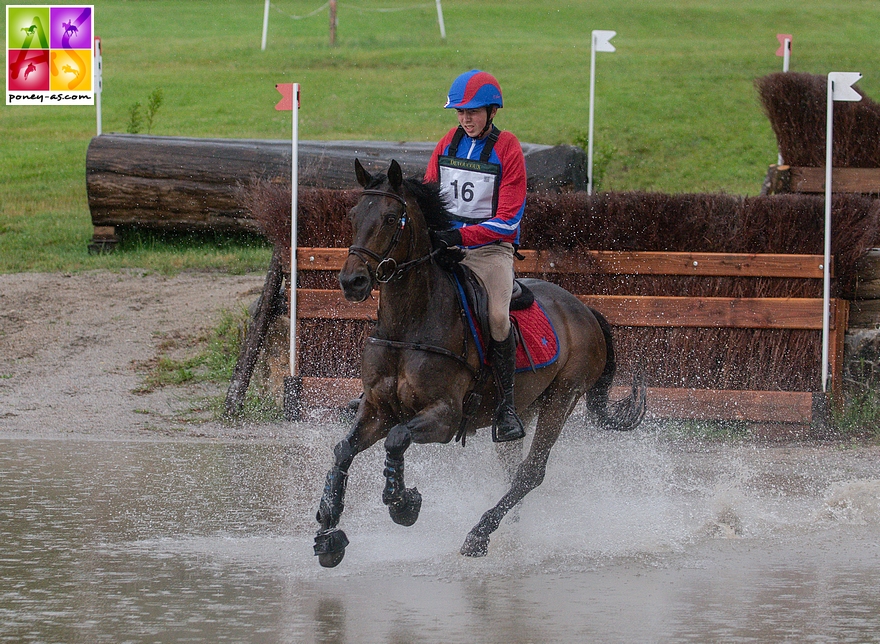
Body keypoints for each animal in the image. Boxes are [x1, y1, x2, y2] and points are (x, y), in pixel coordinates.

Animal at [312, 158, 644, 568]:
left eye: (391, 218)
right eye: (353, 215)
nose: (352, 282)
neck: (408, 324)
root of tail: (584, 309)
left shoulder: (444, 415)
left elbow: (397, 439)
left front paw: (403, 504)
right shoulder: (378, 408)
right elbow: (344, 450)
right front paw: (328, 532)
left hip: (563, 398)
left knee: (530, 472)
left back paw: (479, 534)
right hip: (523, 406)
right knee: (511, 466)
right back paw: (509, 532)